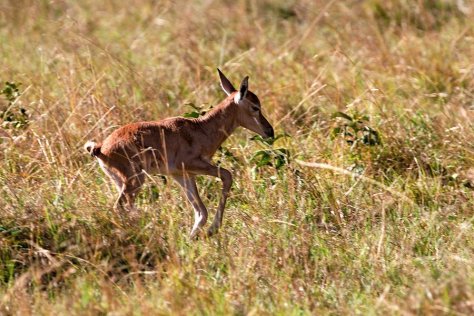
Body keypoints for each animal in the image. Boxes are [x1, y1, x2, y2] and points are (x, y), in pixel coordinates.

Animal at [83, 69, 272, 237]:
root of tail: (100, 148)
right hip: (135, 180)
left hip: (122, 182)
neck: (199, 129)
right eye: (255, 107)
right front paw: (212, 230)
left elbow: (201, 212)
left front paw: (193, 238)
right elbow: (227, 175)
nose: (270, 131)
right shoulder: (193, 165)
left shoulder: (182, 175)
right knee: (120, 207)